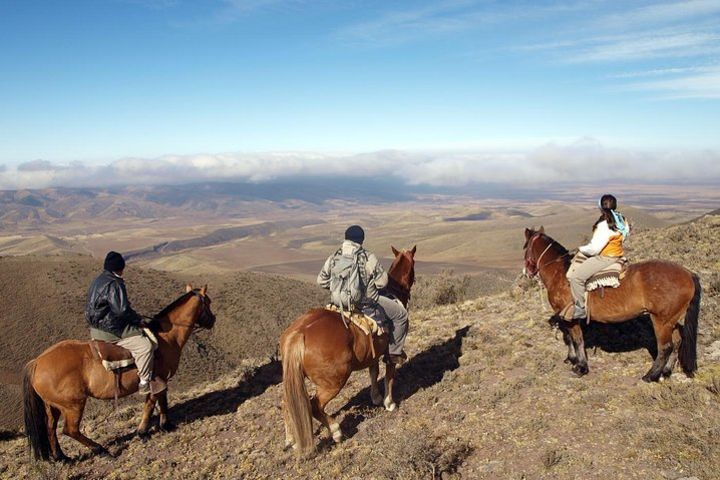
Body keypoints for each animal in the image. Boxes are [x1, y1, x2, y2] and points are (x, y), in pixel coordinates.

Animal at [23, 284, 215, 462]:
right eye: (208, 302)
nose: (213, 320)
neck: (165, 337)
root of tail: (37, 362)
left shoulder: (162, 379)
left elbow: (162, 400)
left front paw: (166, 425)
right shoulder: (155, 379)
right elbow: (151, 403)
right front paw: (143, 431)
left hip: (53, 406)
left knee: (51, 427)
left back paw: (62, 457)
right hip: (73, 405)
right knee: (70, 430)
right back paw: (101, 450)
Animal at [282, 246, 416, 456]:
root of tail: (298, 333)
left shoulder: (373, 355)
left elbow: (373, 372)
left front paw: (376, 397)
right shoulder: (389, 353)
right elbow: (389, 375)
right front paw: (389, 403)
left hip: (292, 376)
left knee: (287, 403)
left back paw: (291, 440)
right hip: (334, 381)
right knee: (314, 405)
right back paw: (336, 431)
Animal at [524, 229, 696, 382]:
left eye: (525, 248)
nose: (527, 273)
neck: (560, 274)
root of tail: (688, 273)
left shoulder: (570, 316)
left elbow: (576, 339)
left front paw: (581, 367)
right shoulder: (565, 315)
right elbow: (570, 337)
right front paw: (571, 359)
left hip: (661, 320)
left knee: (665, 347)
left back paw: (650, 376)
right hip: (671, 320)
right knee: (676, 342)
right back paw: (666, 372)